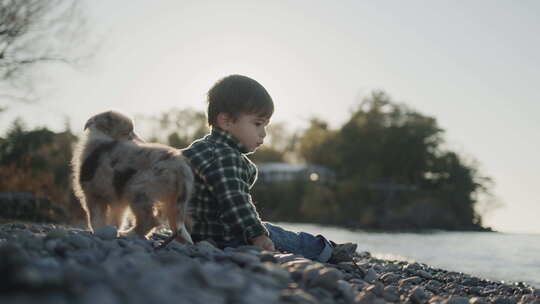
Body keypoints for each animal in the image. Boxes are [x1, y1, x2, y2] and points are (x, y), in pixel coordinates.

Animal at [71, 110, 194, 243]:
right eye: (129, 133)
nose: (143, 141)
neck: (103, 136)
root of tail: (180, 166)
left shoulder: (93, 195)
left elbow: (96, 218)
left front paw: (98, 230)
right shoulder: (117, 200)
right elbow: (116, 219)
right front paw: (111, 229)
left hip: (137, 188)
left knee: (150, 220)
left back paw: (130, 234)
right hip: (170, 198)